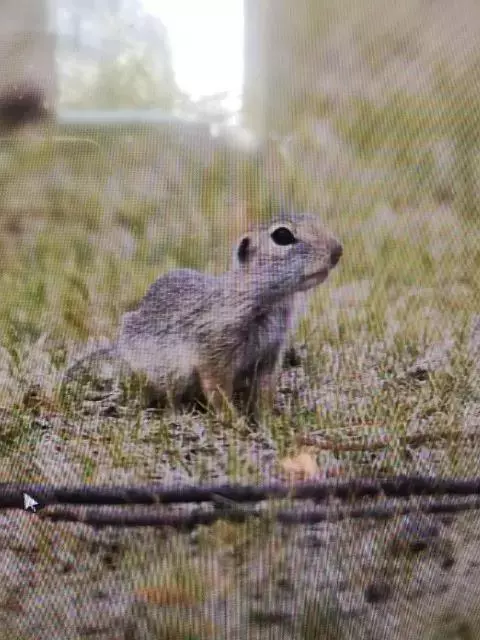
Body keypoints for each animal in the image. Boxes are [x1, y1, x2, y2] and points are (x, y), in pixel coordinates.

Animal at [63, 213, 342, 420]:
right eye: (282, 235)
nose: (337, 251)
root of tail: (119, 349)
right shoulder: (214, 350)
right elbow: (217, 388)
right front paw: (234, 421)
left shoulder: (269, 356)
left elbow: (264, 391)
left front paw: (268, 420)